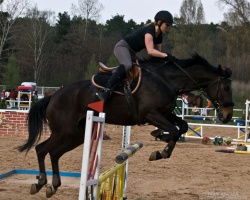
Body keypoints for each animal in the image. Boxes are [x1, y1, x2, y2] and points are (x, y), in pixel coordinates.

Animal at [18, 54, 234, 198]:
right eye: (226, 87)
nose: (228, 115)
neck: (167, 80)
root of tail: (53, 96)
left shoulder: (164, 113)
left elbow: (182, 126)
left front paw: (159, 136)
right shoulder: (151, 114)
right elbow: (174, 130)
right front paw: (160, 152)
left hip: (75, 136)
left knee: (53, 153)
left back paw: (52, 185)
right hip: (64, 131)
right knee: (41, 149)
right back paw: (41, 182)